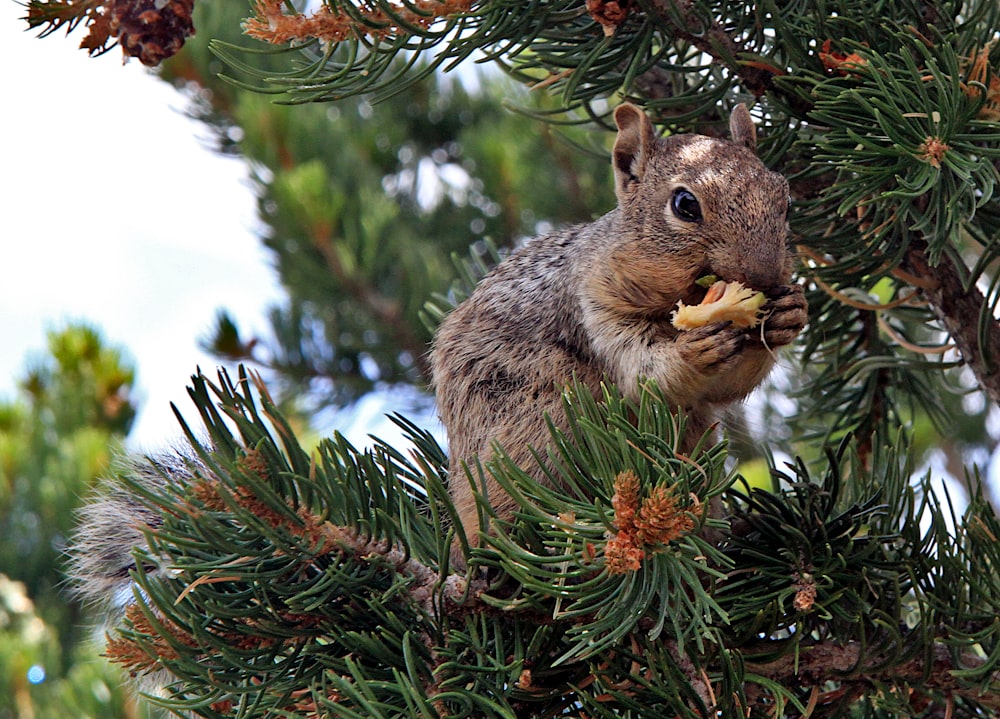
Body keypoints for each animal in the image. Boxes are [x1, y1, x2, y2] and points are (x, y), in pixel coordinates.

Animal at [434, 101, 808, 552]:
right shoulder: (595, 306)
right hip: (537, 423)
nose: (765, 277)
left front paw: (791, 313)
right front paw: (691, 352)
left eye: (785, 200)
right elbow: (641, 373)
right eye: (685, 204)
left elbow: (726, 386)